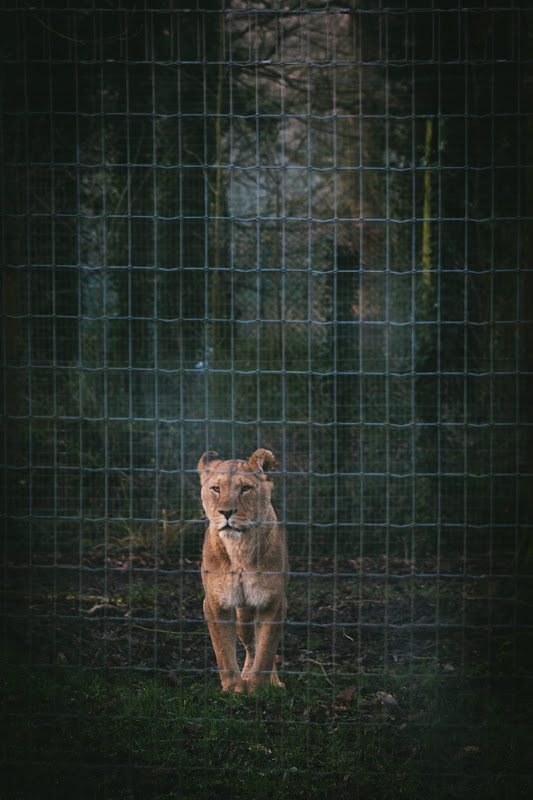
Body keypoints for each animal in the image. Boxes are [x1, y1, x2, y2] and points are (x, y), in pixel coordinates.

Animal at [198, 448, 289, 692]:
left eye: (245, 488)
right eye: (216, 488)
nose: (226, 512)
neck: (239, 548)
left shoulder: (273, 601)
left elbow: (266, 651)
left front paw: (258, 689)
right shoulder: (215, 604)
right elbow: (223, 652)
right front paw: (233, 690)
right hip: (242, 616)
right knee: (250, 645)